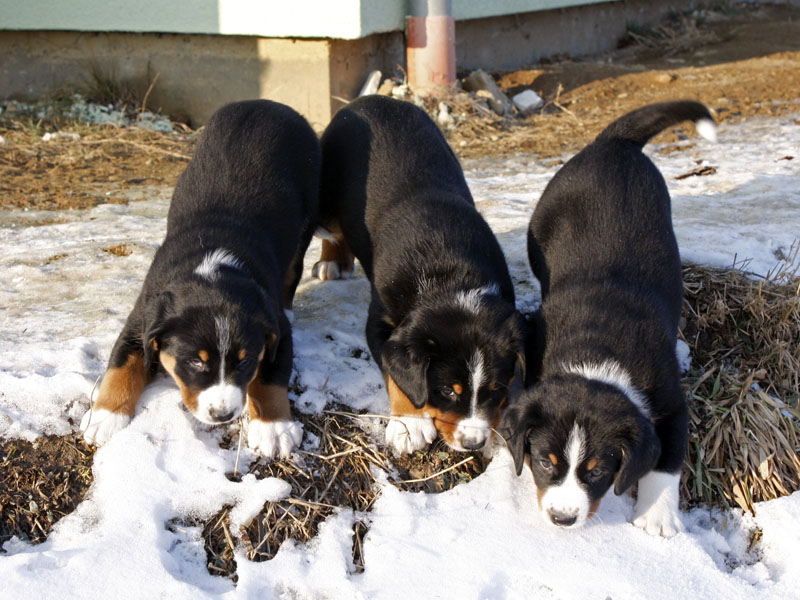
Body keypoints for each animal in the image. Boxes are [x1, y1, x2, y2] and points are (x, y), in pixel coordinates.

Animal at [314, 95, 532, 454]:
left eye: (496, 389)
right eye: (446, 391)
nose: (473, 443)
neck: (450, 274)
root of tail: (367, 99)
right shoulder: (382, 321)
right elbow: (397, 374)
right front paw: (410, 424)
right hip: (325, 198)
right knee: (331, 229)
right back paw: (332, 262)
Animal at [504, 101, 716, 536]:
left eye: (598, 471)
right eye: (544, 462)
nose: (563, 519)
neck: (596, 355)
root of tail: (613, 143)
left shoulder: (671, 403)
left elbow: (667, 461)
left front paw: (656, 517)